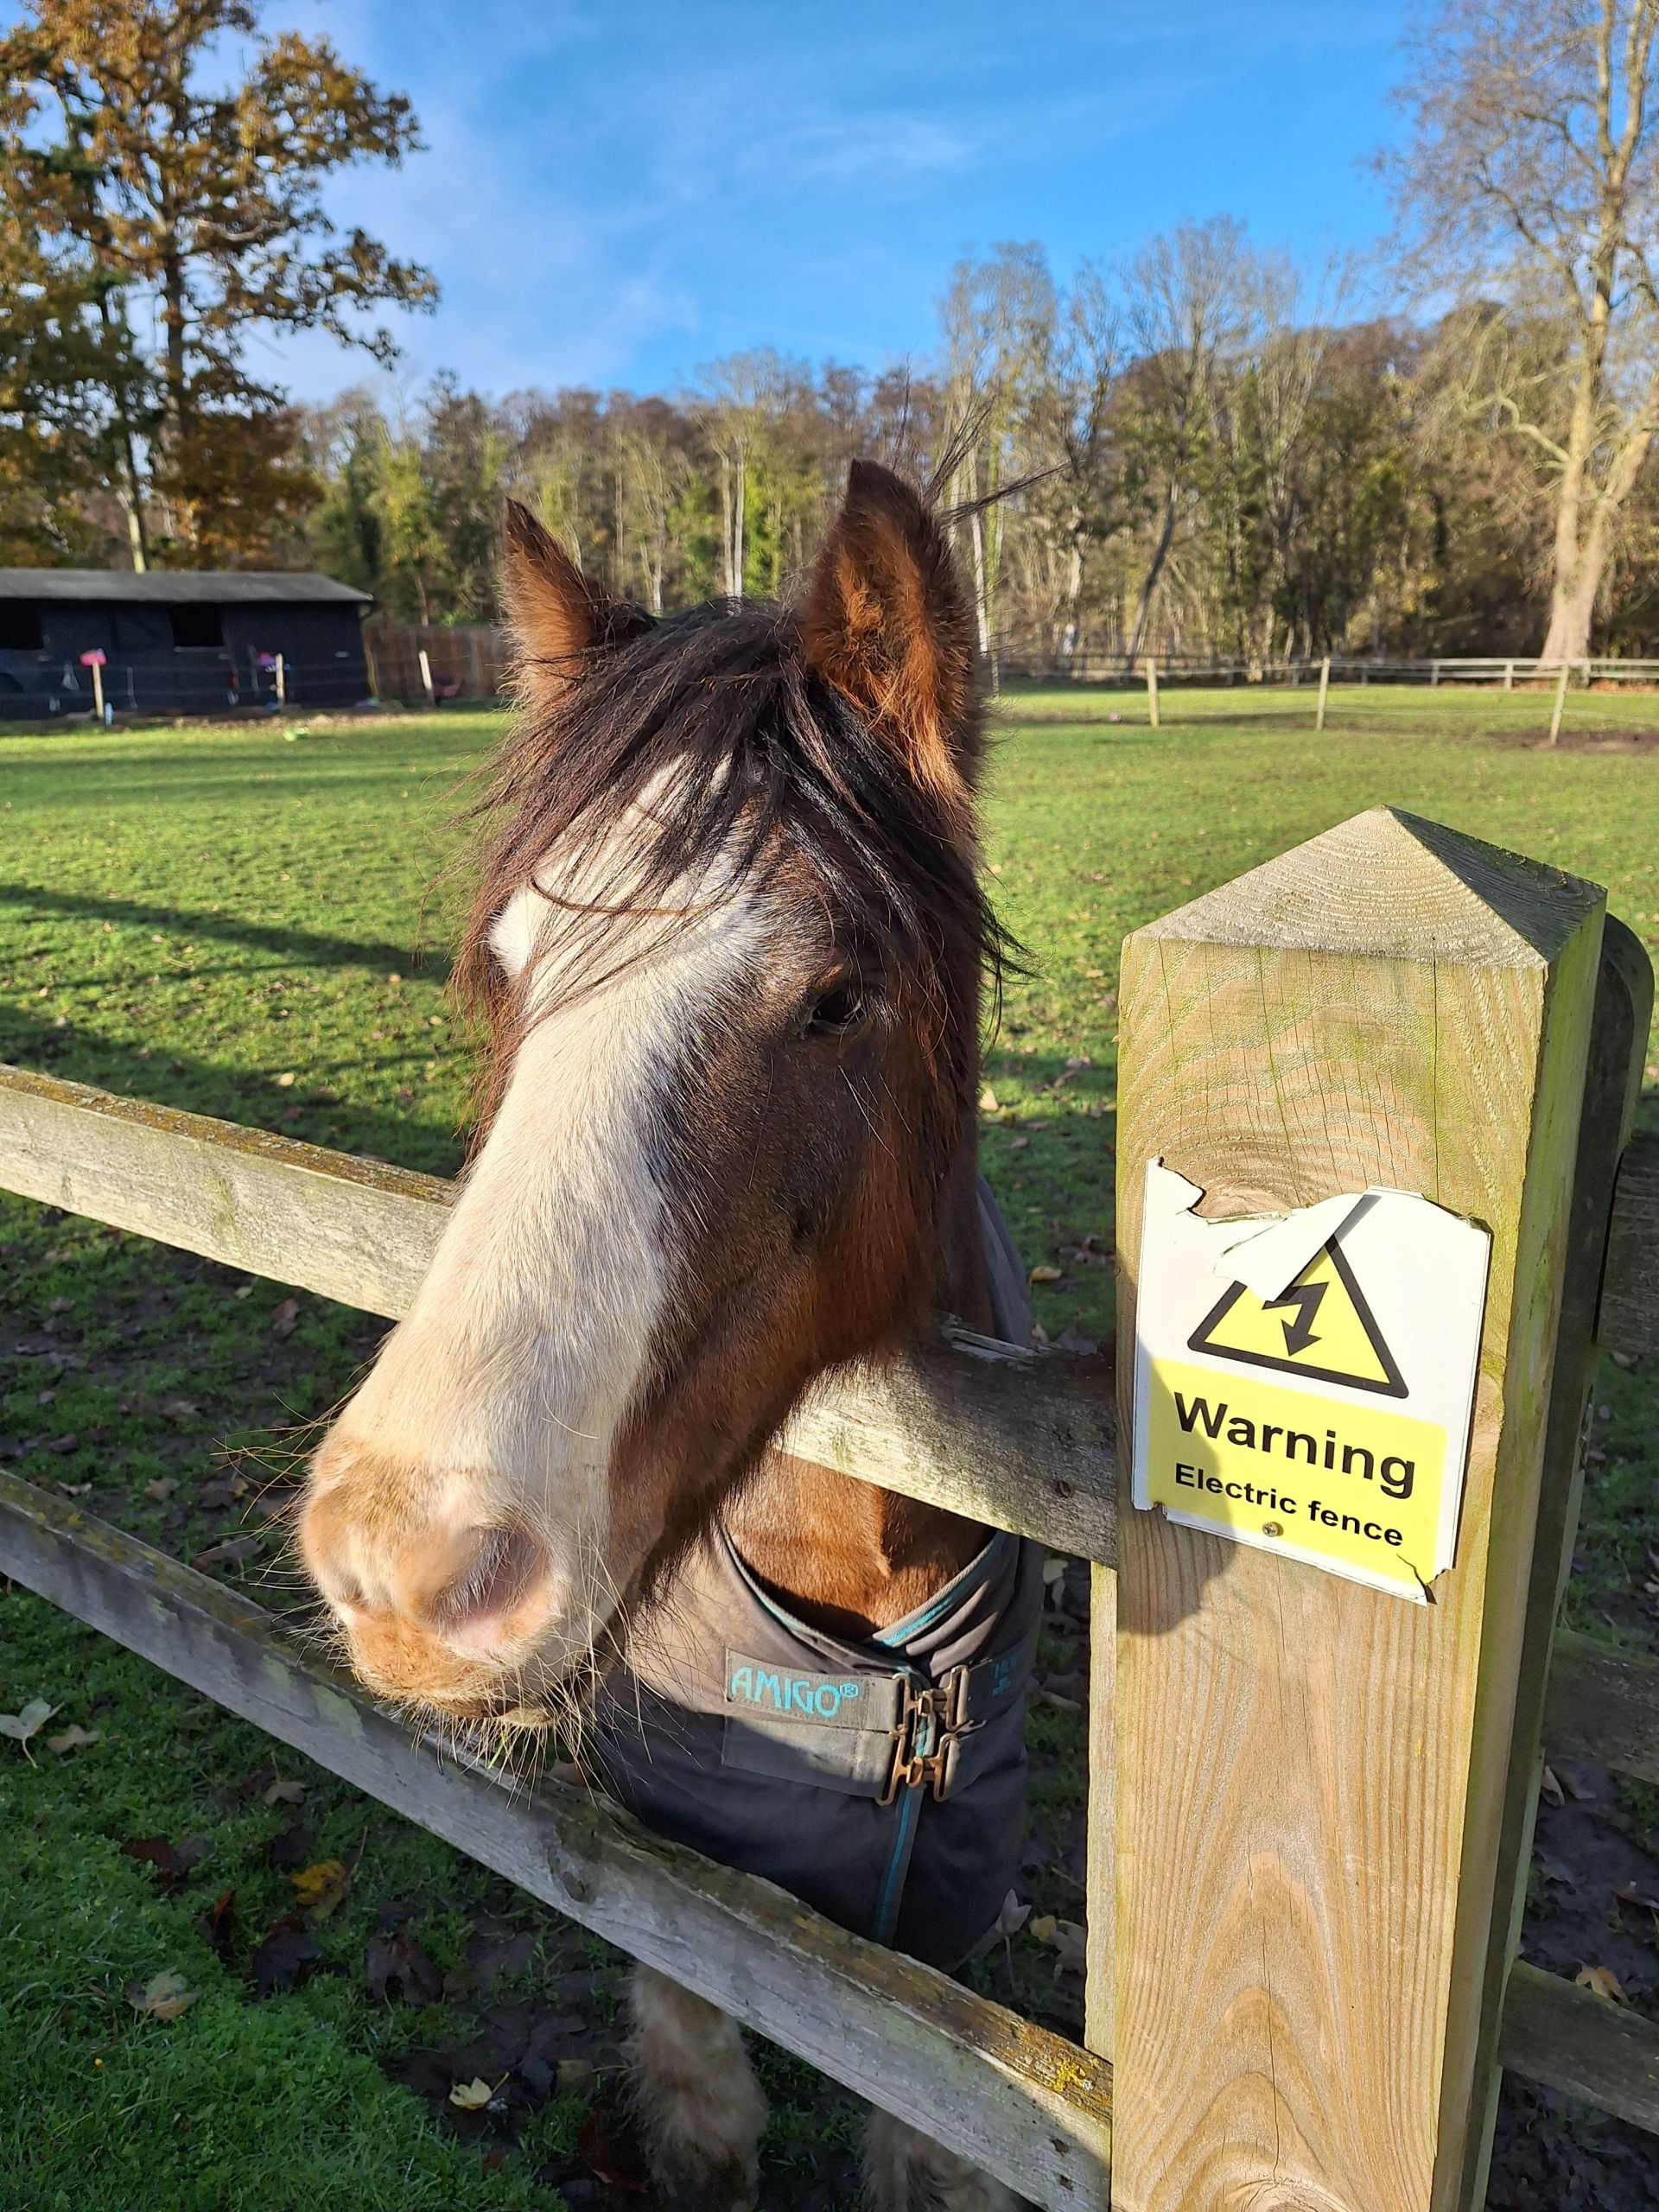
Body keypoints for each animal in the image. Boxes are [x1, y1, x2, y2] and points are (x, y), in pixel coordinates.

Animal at [297, 462, 1039, 2212]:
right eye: (509, 971)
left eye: (839, 994)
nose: (403, 1571)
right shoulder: (685, 1908)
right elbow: (707, 2120)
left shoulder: (941, 1973)